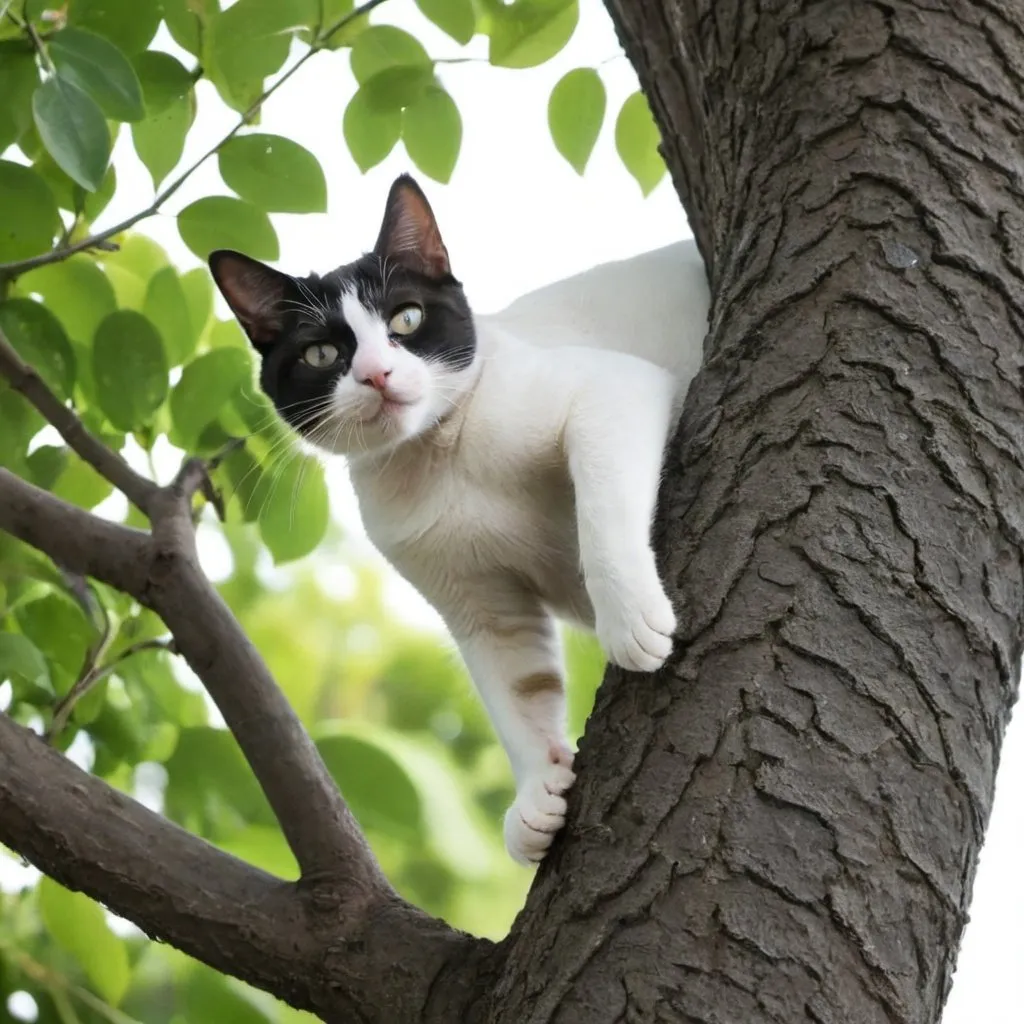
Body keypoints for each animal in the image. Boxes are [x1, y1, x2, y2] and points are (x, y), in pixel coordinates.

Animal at [204, 176, 708, 864]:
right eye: (322, 352)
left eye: (407, 319)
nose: (377, 374)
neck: (442, 457)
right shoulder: (478, 605)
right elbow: (514, 687)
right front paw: (537, 791)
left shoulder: (609, 389)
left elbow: (601, 510)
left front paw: (630, 618)